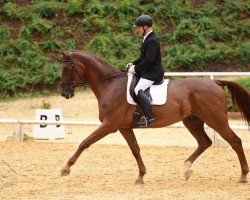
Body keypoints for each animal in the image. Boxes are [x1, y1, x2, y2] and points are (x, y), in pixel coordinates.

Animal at [57, 50, 250, 184]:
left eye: (67, 68)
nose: (64, 93)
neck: (111, 86)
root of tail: (214, 82)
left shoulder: (110, 125)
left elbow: (85, 142)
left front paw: (65, 168)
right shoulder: (124, 127)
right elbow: (135, 150)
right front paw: (141, 176)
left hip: (216, 120)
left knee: (235, 141)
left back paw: (242, 175)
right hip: (192, 121)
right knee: (204, 142)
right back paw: (186, 169)